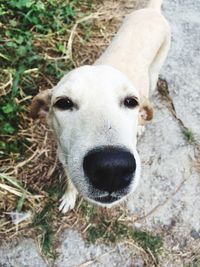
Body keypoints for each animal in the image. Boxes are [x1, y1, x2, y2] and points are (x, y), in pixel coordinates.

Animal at [30, 0, 170, 214]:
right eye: (63, 103)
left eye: (131, 101)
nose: (112, 169)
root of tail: (151, 10)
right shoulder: (65, 159)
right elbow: (71, 182)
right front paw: (69, 197)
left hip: (154, 74)